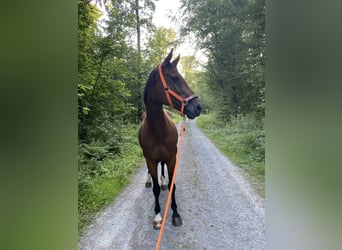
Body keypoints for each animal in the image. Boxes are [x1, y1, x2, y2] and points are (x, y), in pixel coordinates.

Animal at [138, 49, 202, 230]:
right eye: (174, 78)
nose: (198, 107)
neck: (158, 131)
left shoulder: (172, 158)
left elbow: (173, 185)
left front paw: (175, 214)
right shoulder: (151, 160)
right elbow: (156, 190)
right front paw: (158, 216)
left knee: (163, 169)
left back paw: (164, 181)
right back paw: (149, 181)